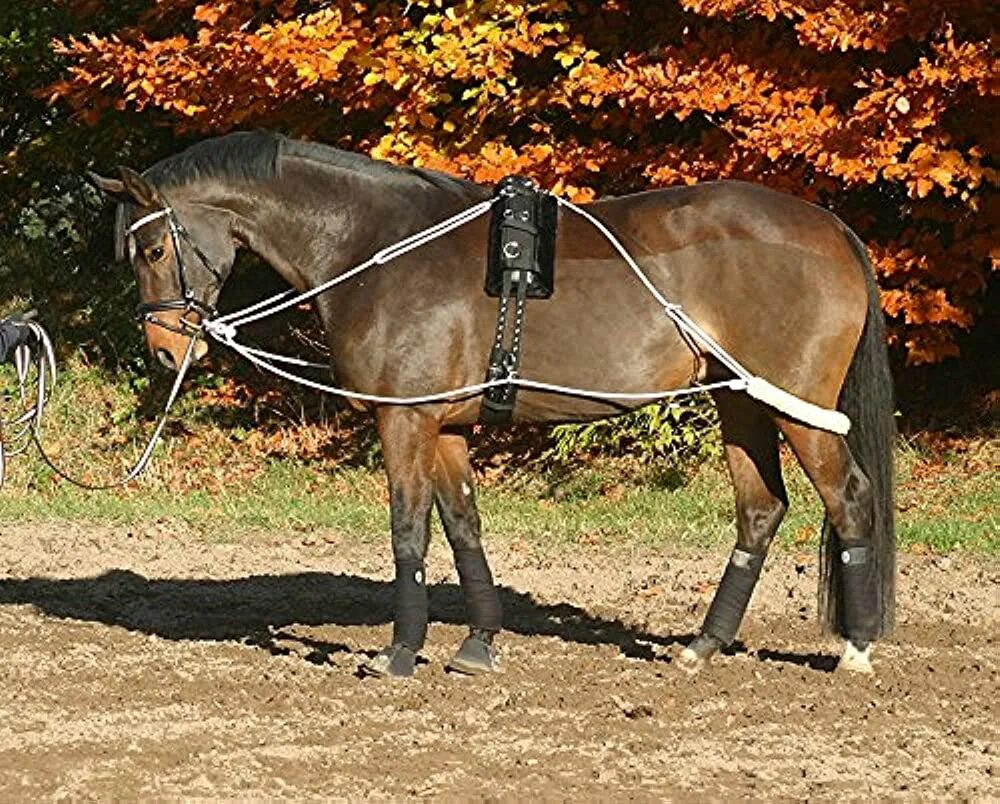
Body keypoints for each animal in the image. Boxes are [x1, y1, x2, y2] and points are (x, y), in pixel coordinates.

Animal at [88, 130, 900, 680]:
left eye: (152, 251)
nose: (165, 351)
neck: (376, 245)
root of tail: (831, 227)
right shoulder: (444, 425)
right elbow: (463, 528)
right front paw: (478, 643)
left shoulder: (404, 418)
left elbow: (409, 532)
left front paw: (400, 652)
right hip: (741, 404)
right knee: (762, 509)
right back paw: (703, 644)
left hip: (798, 409)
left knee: (850, 500)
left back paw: (855, 648)